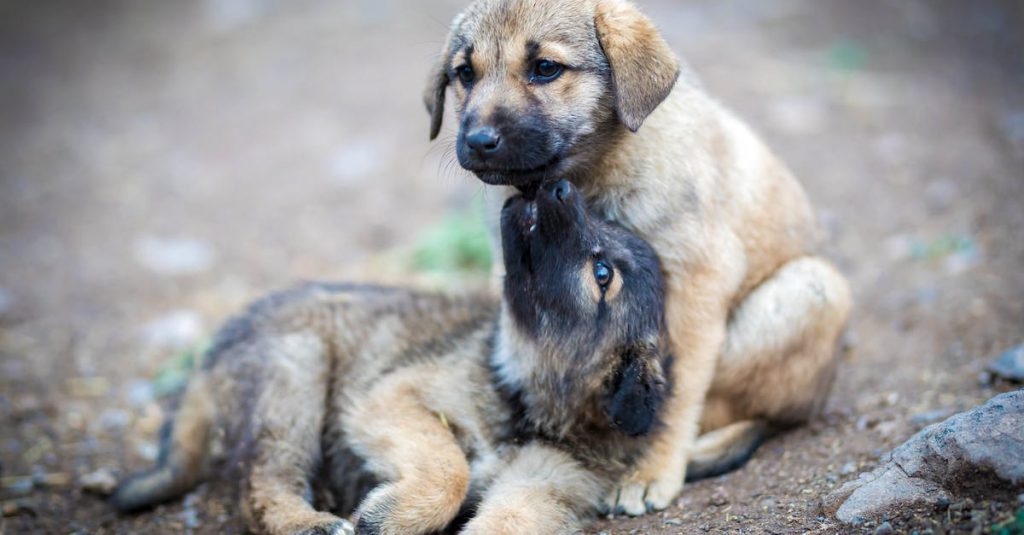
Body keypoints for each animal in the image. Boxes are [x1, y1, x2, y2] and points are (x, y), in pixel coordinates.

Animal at [114, 180, 671, 532]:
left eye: (603, 274)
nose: (559, 184)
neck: (526, 402)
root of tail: (211, 355)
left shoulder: (546, 487)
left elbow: (505, 516)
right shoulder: (393, 394)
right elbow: (450, 469)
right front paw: (393, 516)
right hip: (295, 371)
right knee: (262, 482)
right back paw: (308, 524)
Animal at [423, 0, 856, 512]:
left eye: (545, 68)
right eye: (464, 73)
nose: (478, 141)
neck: (597, 169)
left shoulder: (698, 282)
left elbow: (675, 394)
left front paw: (651, 472)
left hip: (812, 290)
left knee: (754, 413)